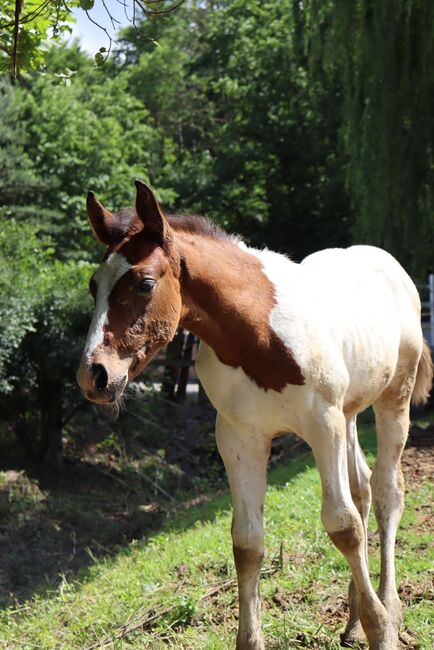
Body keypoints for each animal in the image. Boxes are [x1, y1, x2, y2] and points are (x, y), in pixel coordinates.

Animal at [76, 180, 432, 648]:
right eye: (93, 285)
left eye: (144, 283)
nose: (92, 375)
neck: (256, 334)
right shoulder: (239, 440)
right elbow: (247, 542)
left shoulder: (323, 426)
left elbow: (344, 526)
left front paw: (381, 628)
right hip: (351, 412)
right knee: (363, 488)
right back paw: (353, 621)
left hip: (394, 398)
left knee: (388, 491)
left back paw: (387, 608)